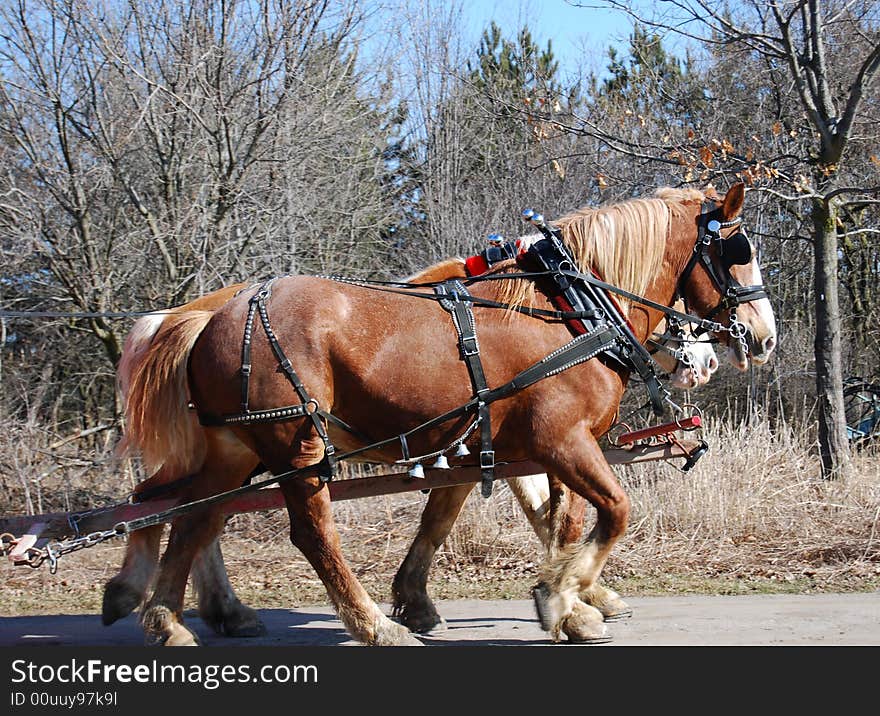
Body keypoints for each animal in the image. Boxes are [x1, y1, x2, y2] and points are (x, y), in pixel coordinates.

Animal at [115, 183, 768, 644]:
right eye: (737, 251)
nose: (760, 338)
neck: (572, 309)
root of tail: (212, 314)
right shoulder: (559, 440)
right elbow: (607, 512)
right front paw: (563, 597)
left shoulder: (485, 444)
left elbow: (516, 517)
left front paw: (565, 599)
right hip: (294, 444)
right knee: (306, 532)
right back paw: (373, 627)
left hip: (234, 448)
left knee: (186, 513)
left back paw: (169, 617)